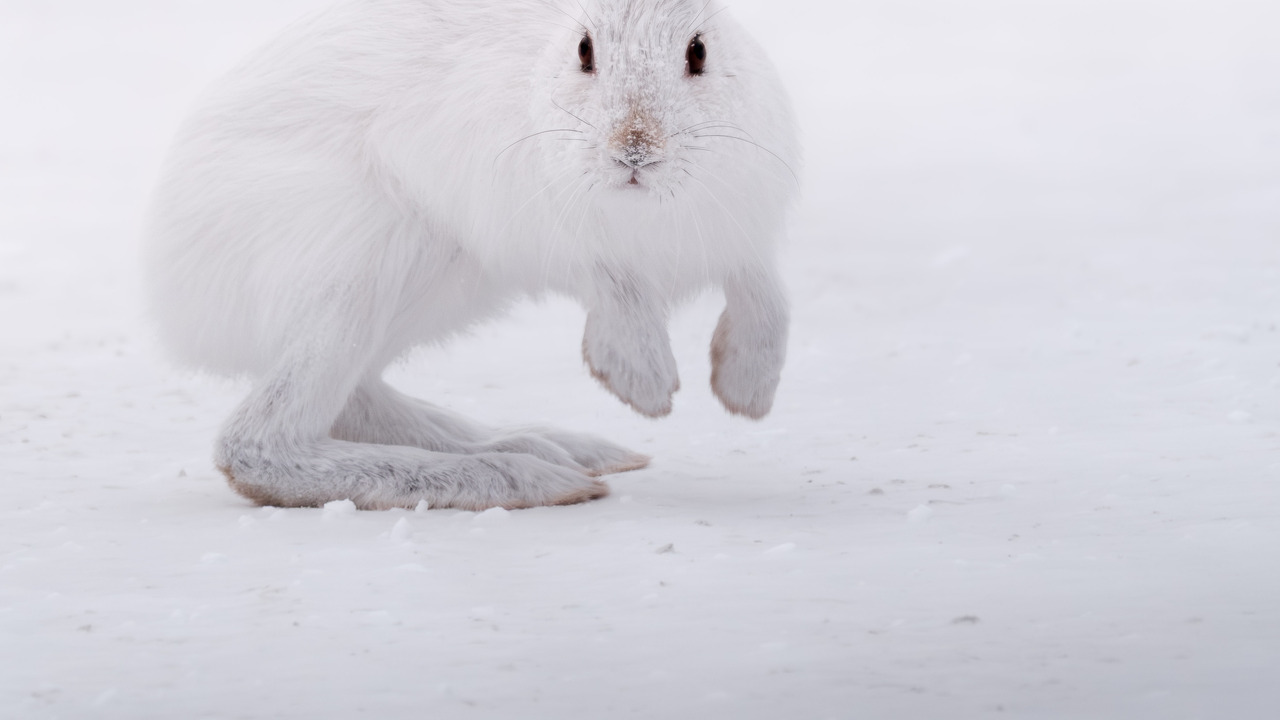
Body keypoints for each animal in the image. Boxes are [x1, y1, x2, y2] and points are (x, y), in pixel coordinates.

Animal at [144, 0, 800, 511]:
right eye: (585, 49)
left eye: (699, 50)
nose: (634, 150)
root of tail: (176, 300)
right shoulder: (541, 229)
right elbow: (615, 282)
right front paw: (644, 385)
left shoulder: (744, 232)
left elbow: (767, 296)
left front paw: (747, 391)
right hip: (363, 260)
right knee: (257, 444)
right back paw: (522, 475)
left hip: (434, 283)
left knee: (352, 397)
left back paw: (550, 447)